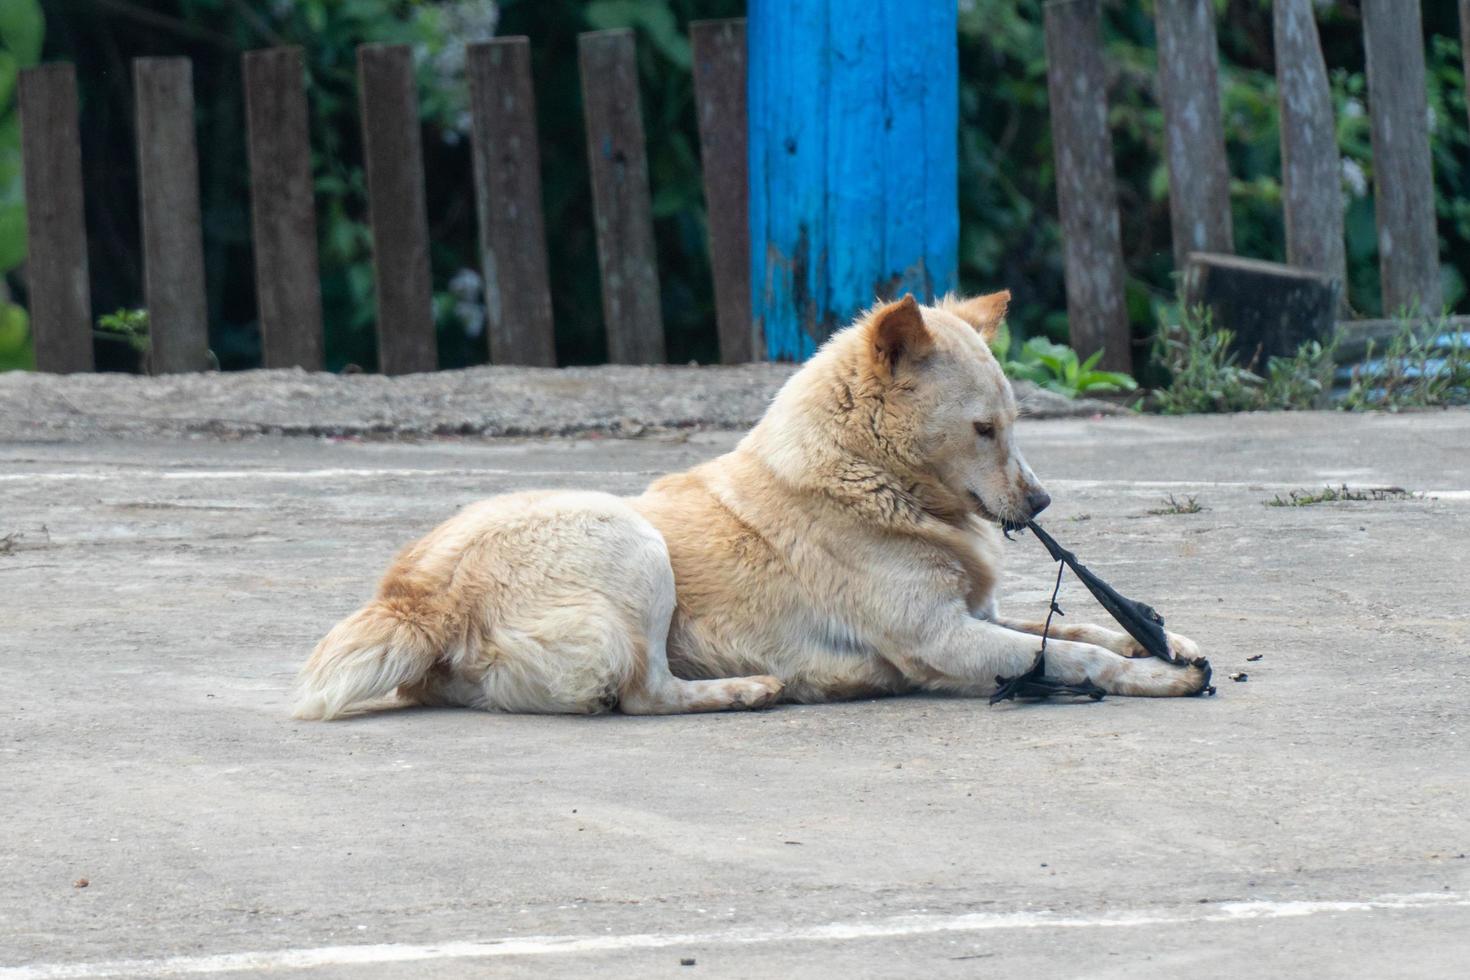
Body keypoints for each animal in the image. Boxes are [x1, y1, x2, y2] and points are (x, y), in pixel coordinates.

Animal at [292, 293, 1211, 719]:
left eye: (1015, 423)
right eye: (984, 429)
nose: (1042, 499)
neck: (864, 479)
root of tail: (416, 600)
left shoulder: (975, 615)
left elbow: (1081, 625)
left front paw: (1169, 641)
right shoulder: (943, 639)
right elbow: (1077, 657)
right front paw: (1154, 675)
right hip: (632, 544)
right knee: (643, 693)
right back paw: (748, 690)